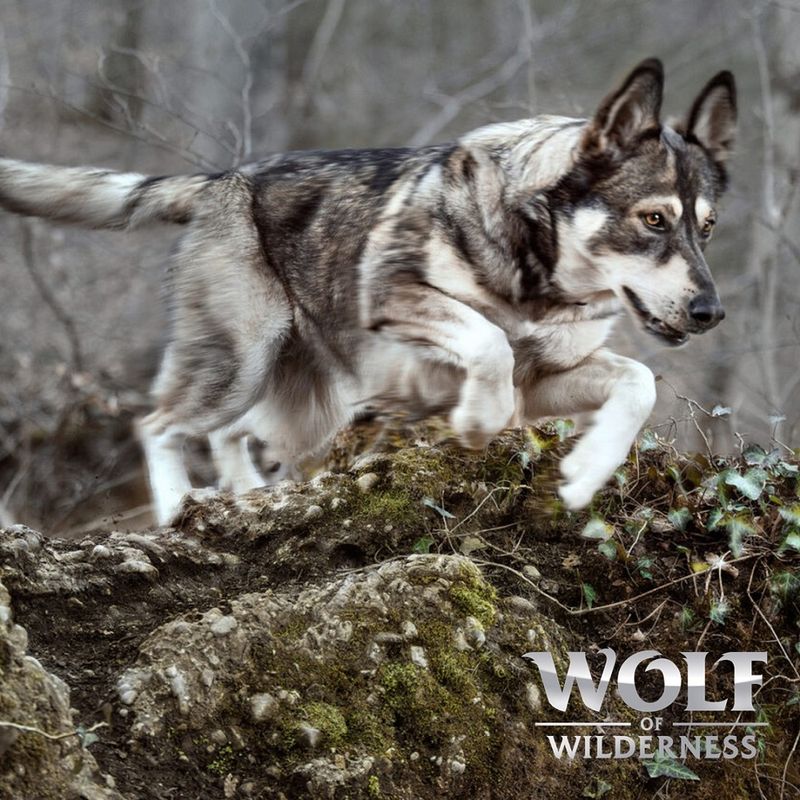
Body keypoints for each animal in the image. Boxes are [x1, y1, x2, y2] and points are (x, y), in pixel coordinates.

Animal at [0, 59, 736, 526]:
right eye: (653, 220)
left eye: (707, 227)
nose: (711, 312)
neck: (538, 276)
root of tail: (219, 180)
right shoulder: (397, 299)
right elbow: (489, 341)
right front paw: (478, 419)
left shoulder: (549, 379)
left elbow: (637, 382)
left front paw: (586, 472)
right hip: (241, 363)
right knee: (158, 425)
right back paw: (181, 505)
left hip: (297, 398)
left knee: (228, 434)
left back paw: (246, 494)